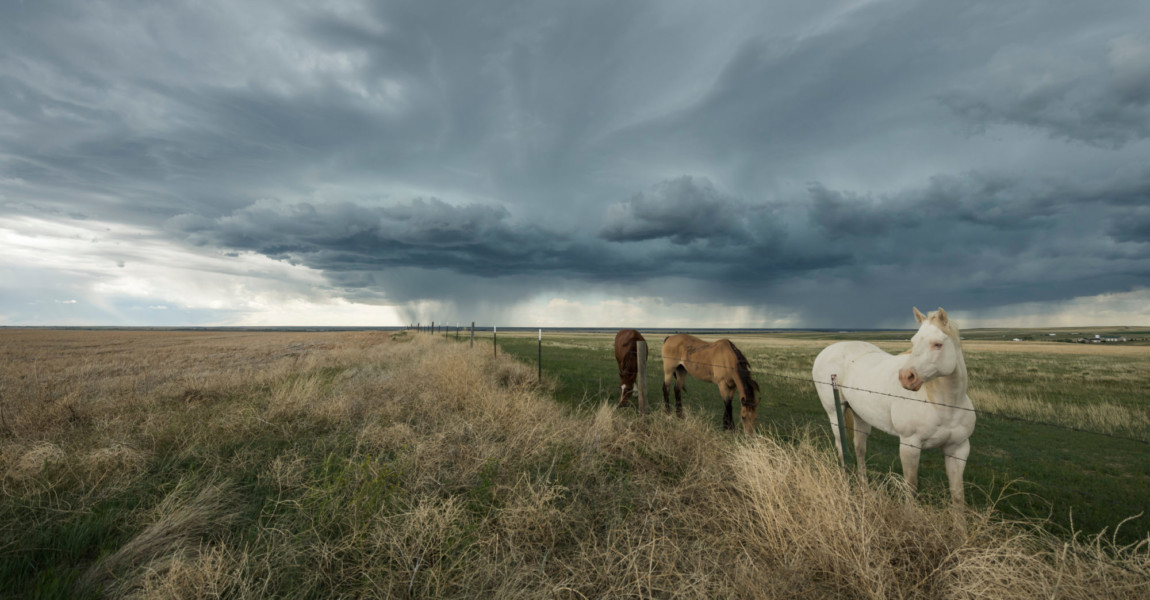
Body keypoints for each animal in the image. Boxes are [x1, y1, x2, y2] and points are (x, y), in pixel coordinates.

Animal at [809, 305, 979, 501]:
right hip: (835, 413)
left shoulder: (958, 450)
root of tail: (828, 349)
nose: (906, 377)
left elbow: (958, 495)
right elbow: (911, 488)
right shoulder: (909, 446)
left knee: (860, 448)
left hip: (860, 416)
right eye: (913, 342)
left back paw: (865, 489)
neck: (945, 406)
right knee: (841, 448)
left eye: (938, 344)